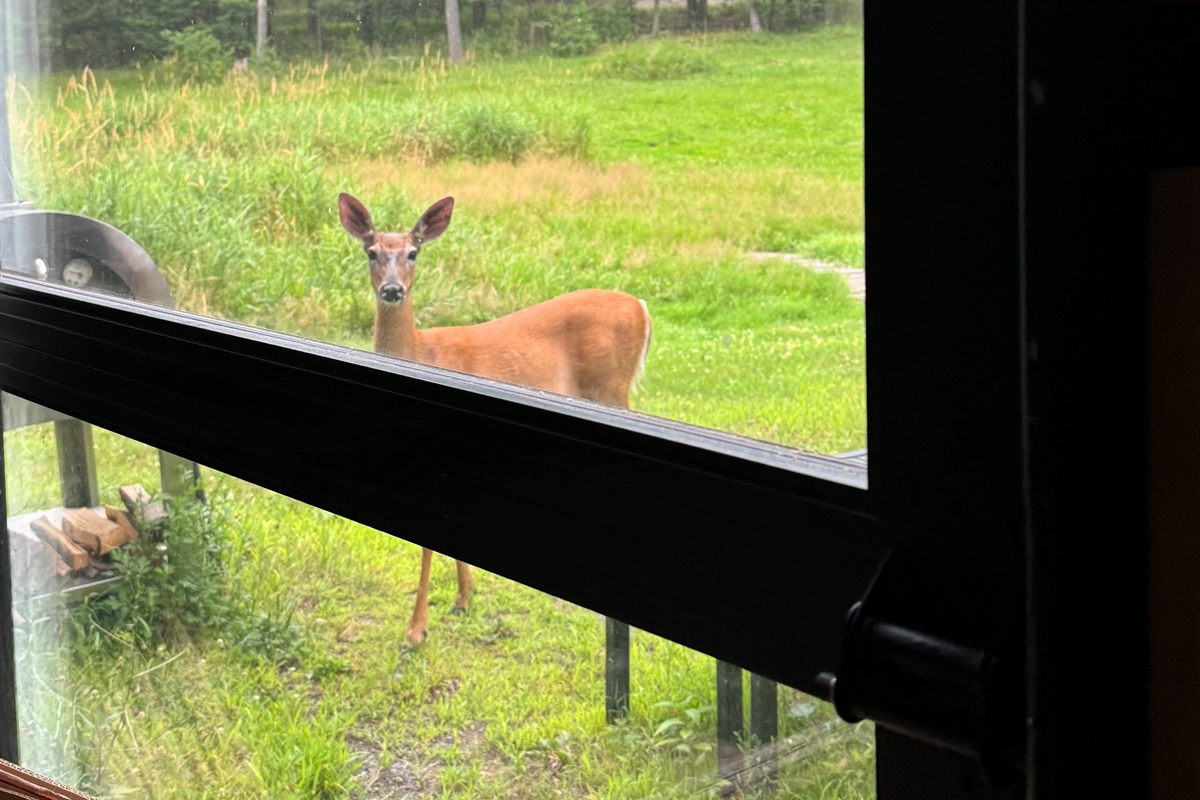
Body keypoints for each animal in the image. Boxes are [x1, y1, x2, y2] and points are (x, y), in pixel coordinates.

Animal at [338, 192, 652, 644]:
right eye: (371, 252)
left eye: (414, 252)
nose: (392, 289)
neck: (421, 352)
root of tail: (642, 308)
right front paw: (464, 598)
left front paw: (416, 629)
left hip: (611, 388)